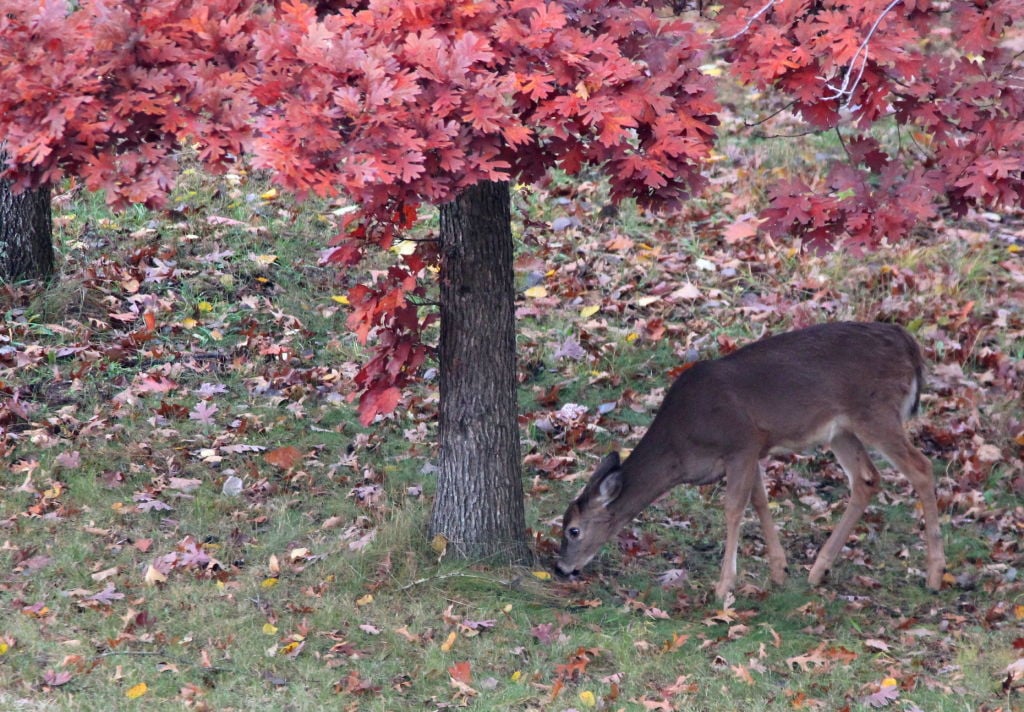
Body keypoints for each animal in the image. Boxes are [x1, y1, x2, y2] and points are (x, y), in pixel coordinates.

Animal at [556, 321, 945, 600]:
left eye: (573, 530)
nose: (561, 568)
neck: (682, 446)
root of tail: (909, 345)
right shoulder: (753, 450)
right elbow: (760, 500)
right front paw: (779, 570)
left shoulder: (740, 442)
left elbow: (734, 508)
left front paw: (723, 587)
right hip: (841, 430)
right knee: (866, 479)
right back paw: (818, 570)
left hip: (876, 412)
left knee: (922, 468)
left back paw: (934, 575)